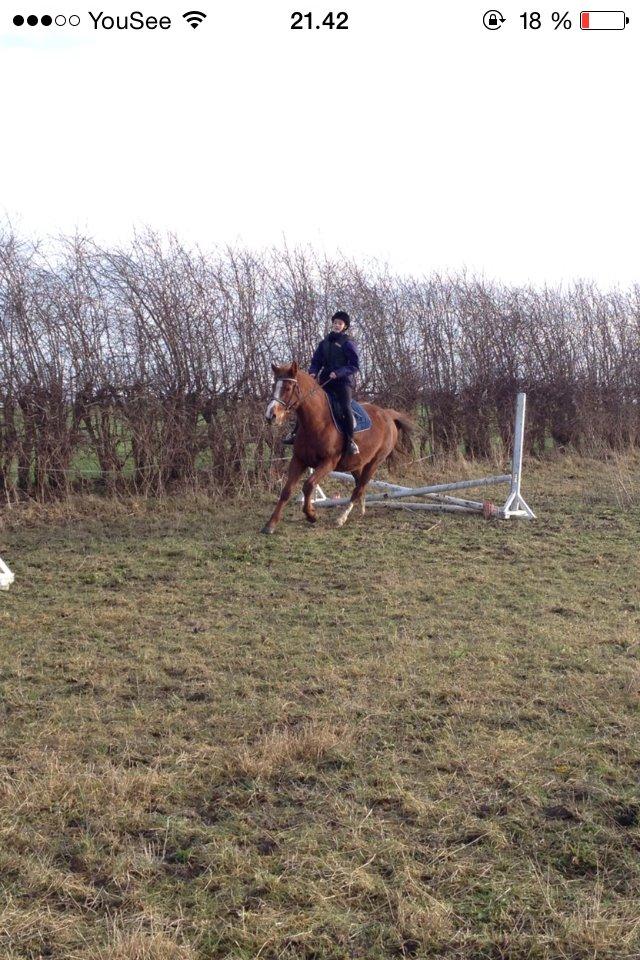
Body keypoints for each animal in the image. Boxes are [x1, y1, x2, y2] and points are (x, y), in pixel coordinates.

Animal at [262, 364, 416, 536]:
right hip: (357, 463)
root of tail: (387, 414)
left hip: (374, 462)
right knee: (359, 485)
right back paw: (361, 510)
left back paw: (342, 517)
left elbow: (308, 485)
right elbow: (286, 491)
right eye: (274, 386)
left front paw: (311, 515)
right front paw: (271, 524)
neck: (317, 422)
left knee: (359, 488)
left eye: (288, 387)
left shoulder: (328, 463)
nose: (271, 415)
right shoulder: (298, 460)